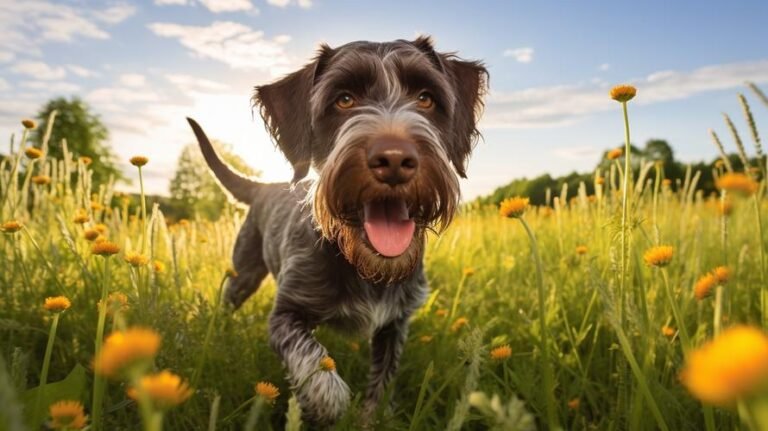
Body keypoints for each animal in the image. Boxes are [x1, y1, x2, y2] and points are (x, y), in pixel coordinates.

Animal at [186, 36, 486, 426]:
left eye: (425, 98)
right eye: (344, 99)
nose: (394, 159)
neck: (362, 263)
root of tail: (263, 186)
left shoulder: (395, 325)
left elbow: (382, 383)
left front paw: (371, 419)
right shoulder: (287, 314)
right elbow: (319, 373)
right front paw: (324, 408)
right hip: (244, 273)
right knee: (228, 302)